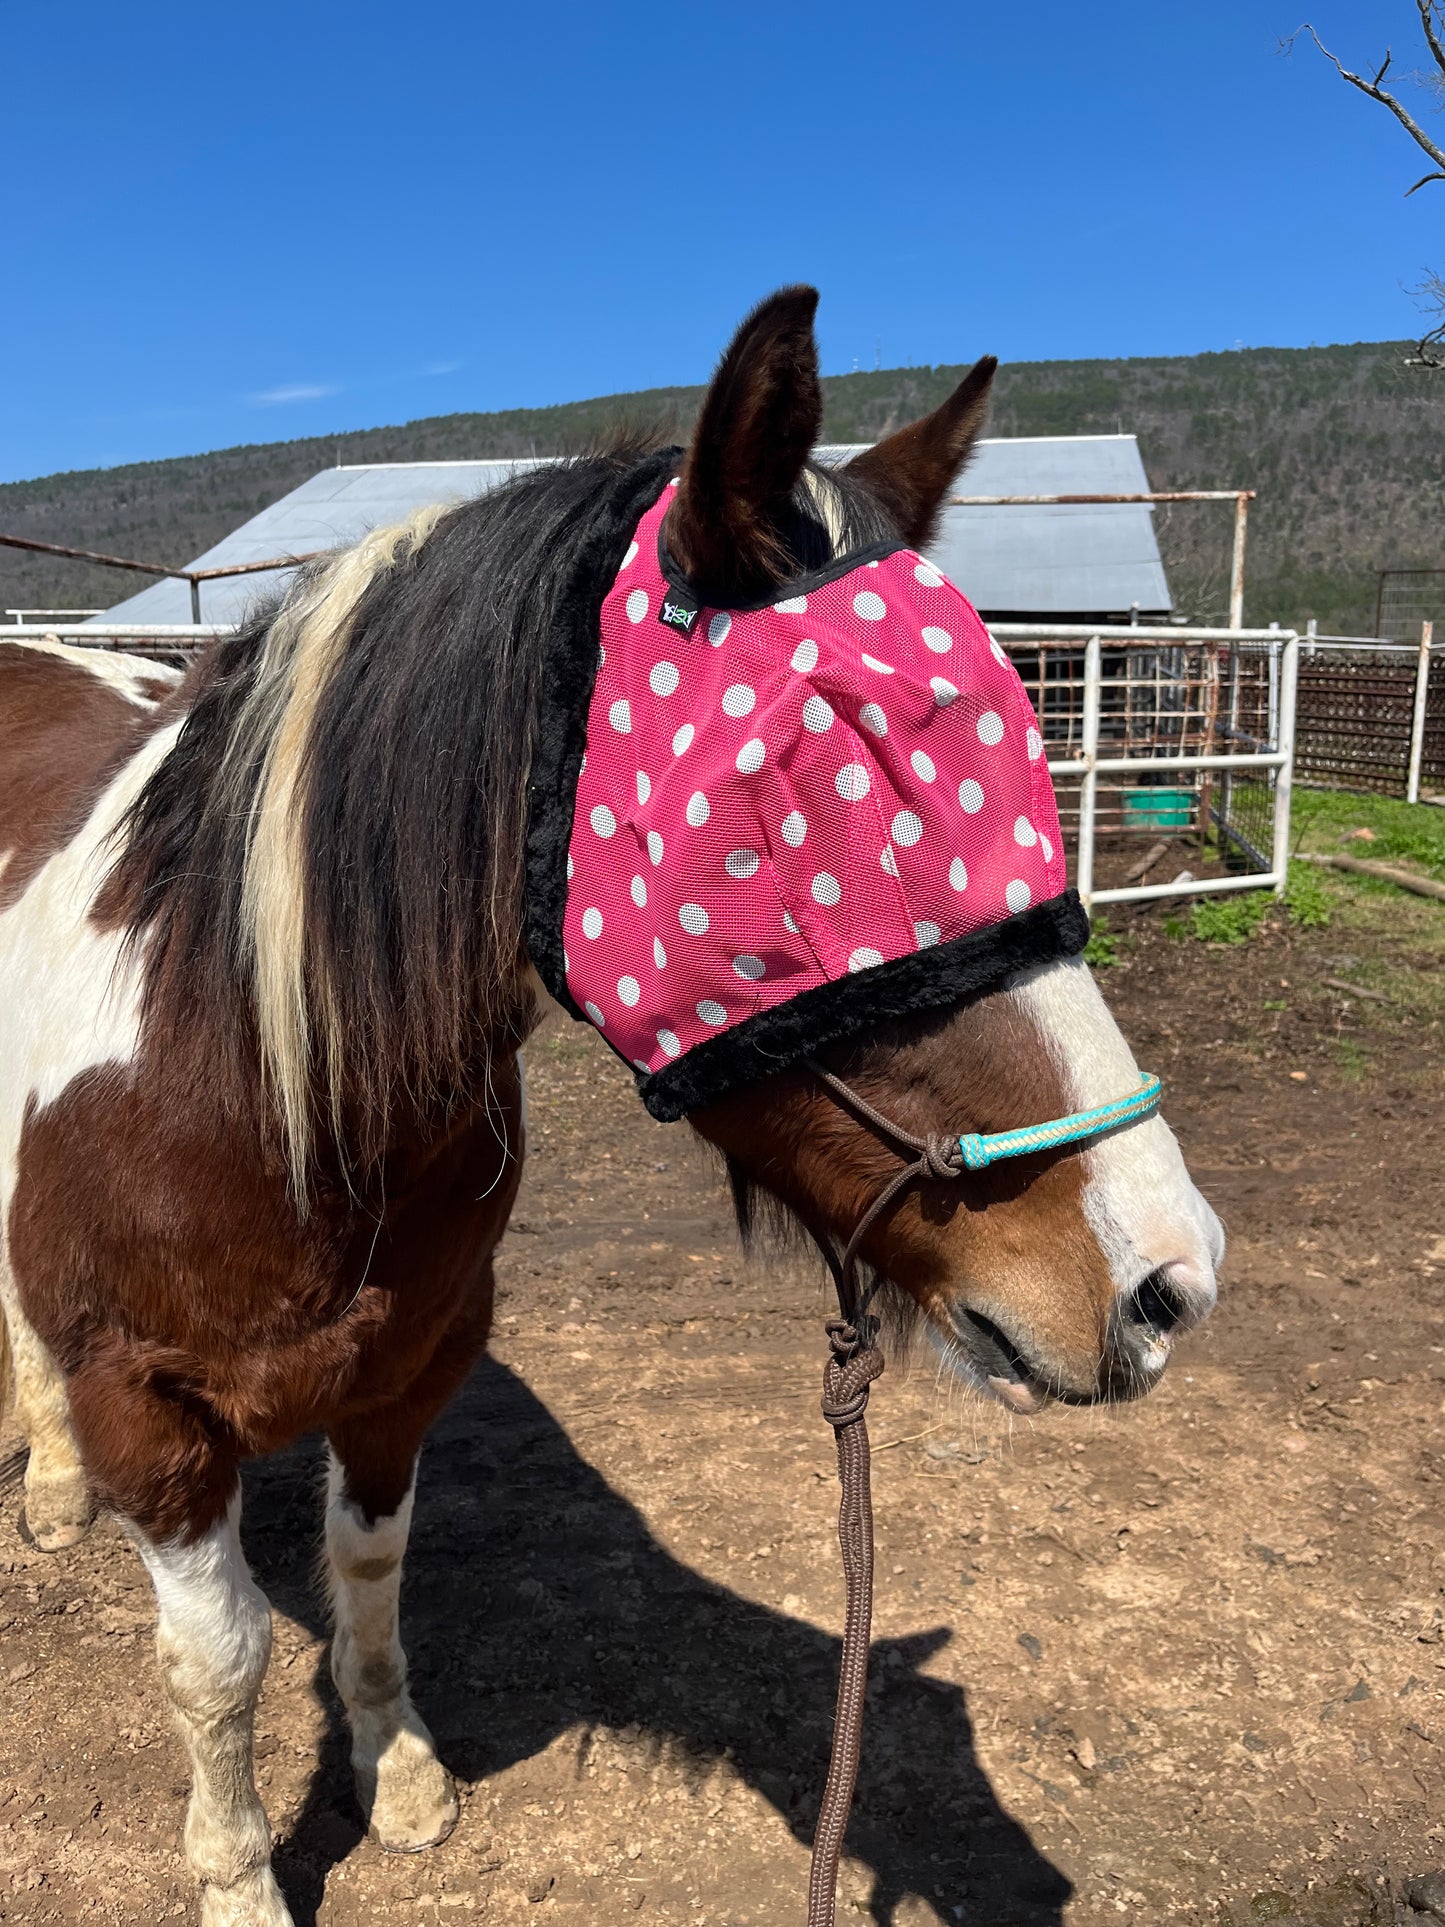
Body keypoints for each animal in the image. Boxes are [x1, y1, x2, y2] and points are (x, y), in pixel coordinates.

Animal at [0, 289, 1225, 1927]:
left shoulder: (407, 1368)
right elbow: (222, 1657)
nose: (1166, 1278)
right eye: (812, 774)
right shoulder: (151, 1412)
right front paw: (242, 1880)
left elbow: (368, 1568)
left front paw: (400, 1776)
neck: (253, 1077)